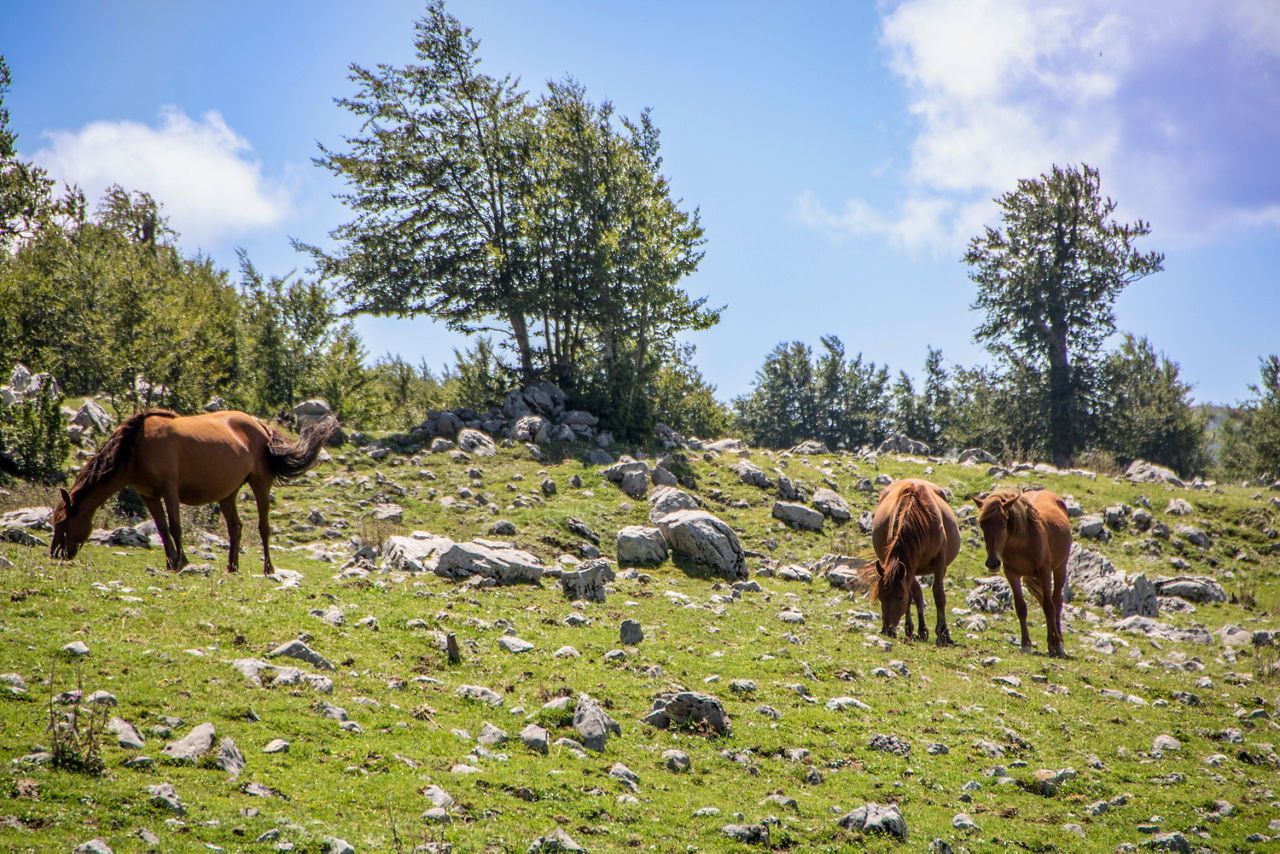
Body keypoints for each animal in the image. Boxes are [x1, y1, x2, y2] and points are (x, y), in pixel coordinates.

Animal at [52, 409, 337, 573]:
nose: (56, 554)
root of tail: (260, 426)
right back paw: (232, 566)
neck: (136, 448)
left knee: (263, 527)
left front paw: (182, 561)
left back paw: (268, 568)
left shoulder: (170, 489)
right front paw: (170, 562)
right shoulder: (149, 494)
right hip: (228, 493)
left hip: (260, 482)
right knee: (235, 527)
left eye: (64, 522)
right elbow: (162, 528)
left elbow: (175, 526)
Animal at [865, 478, 957, 645]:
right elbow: (913, 595)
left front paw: (944, 633)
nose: (887, 630)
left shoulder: (940, 561)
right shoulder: (909, 566)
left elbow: (938, 595)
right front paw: (915, 629)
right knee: (917, 593)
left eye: (899, 597)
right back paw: (917, 630)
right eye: (881, 596)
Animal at [972, 486, 1075, 660]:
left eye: (1004, 523)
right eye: (982, 524)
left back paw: (1058, 644)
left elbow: (1049, 607)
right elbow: (1021, 608)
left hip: (1060, 568)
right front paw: (1026, 645)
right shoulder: (1012, 574)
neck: (1023, 543)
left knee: (1056, 602)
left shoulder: (1044, 572)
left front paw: (1057, 646)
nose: (992, 562)